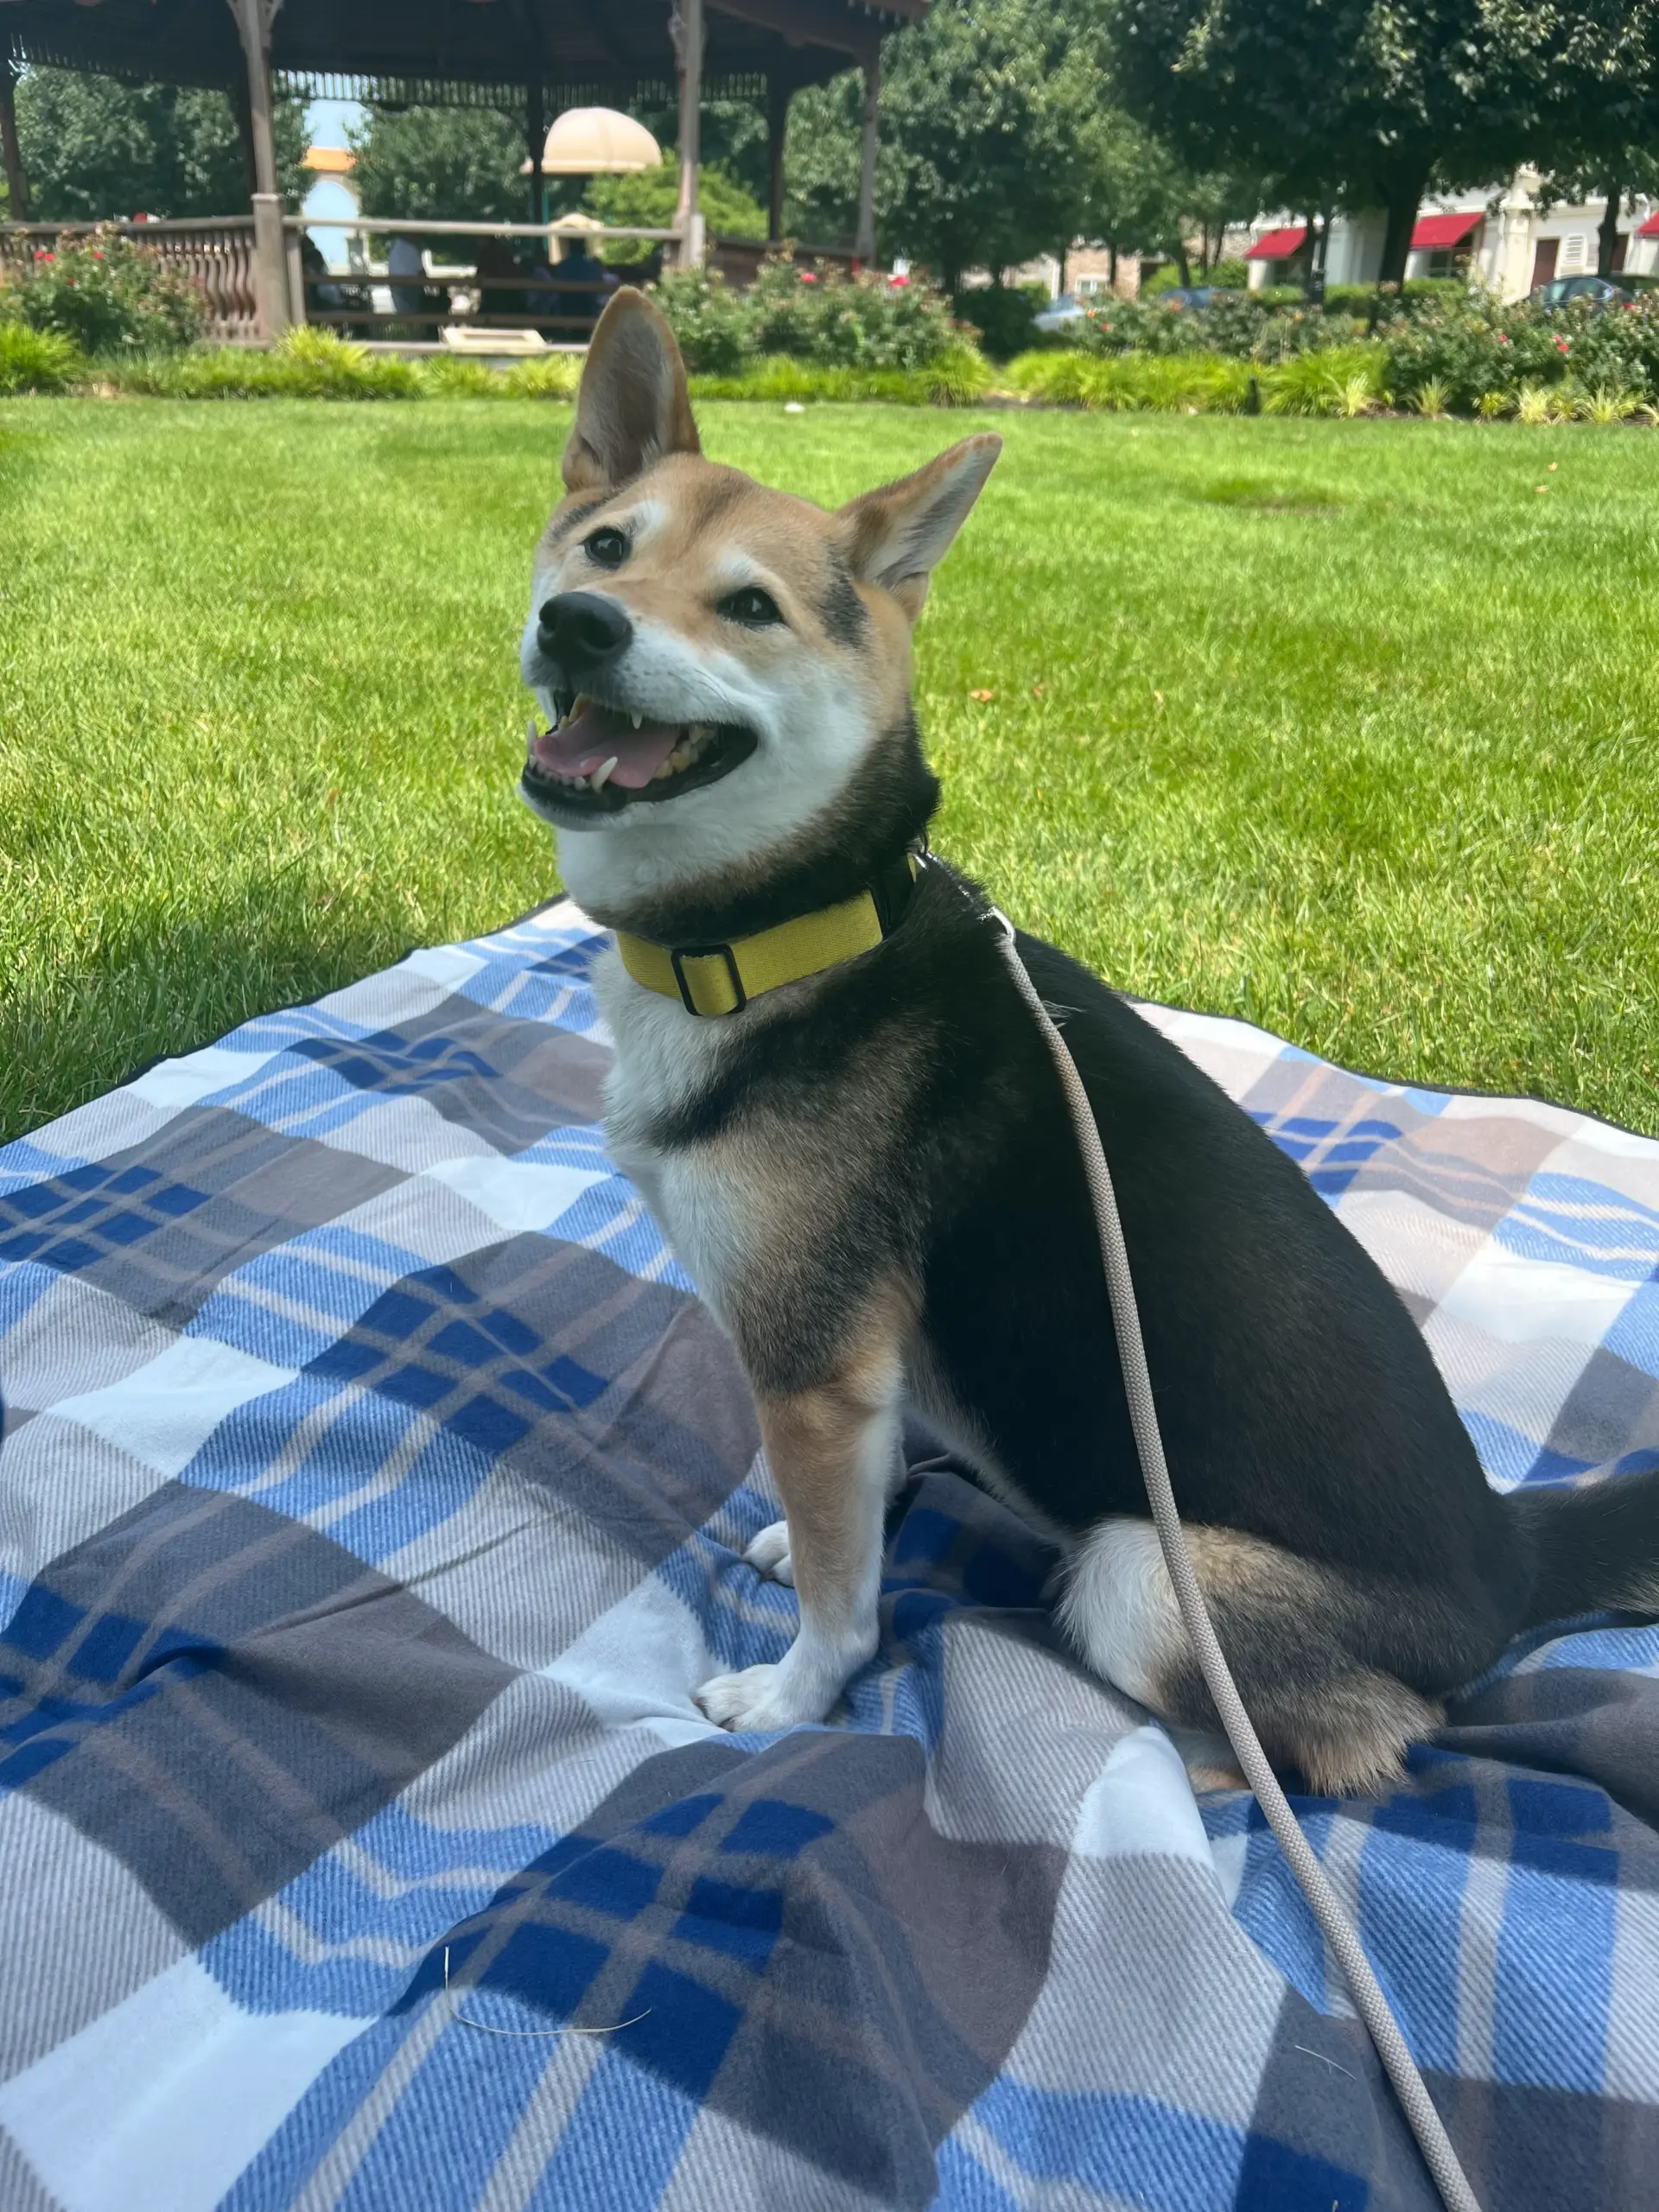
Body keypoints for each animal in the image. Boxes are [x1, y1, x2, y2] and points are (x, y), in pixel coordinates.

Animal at [517, 288, 1659, 1795]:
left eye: (750, 607)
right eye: (605, 547)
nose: (580, 625)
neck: (797, 931)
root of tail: (1511, 1559)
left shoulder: (811, 1365)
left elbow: (840, 1591)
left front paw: (794, 1695)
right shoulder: (864, 1369)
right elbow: (854, 1508)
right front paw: (823, 1535)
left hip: (1142, 1578)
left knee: (1363, 1742)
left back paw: (1189, 1769)